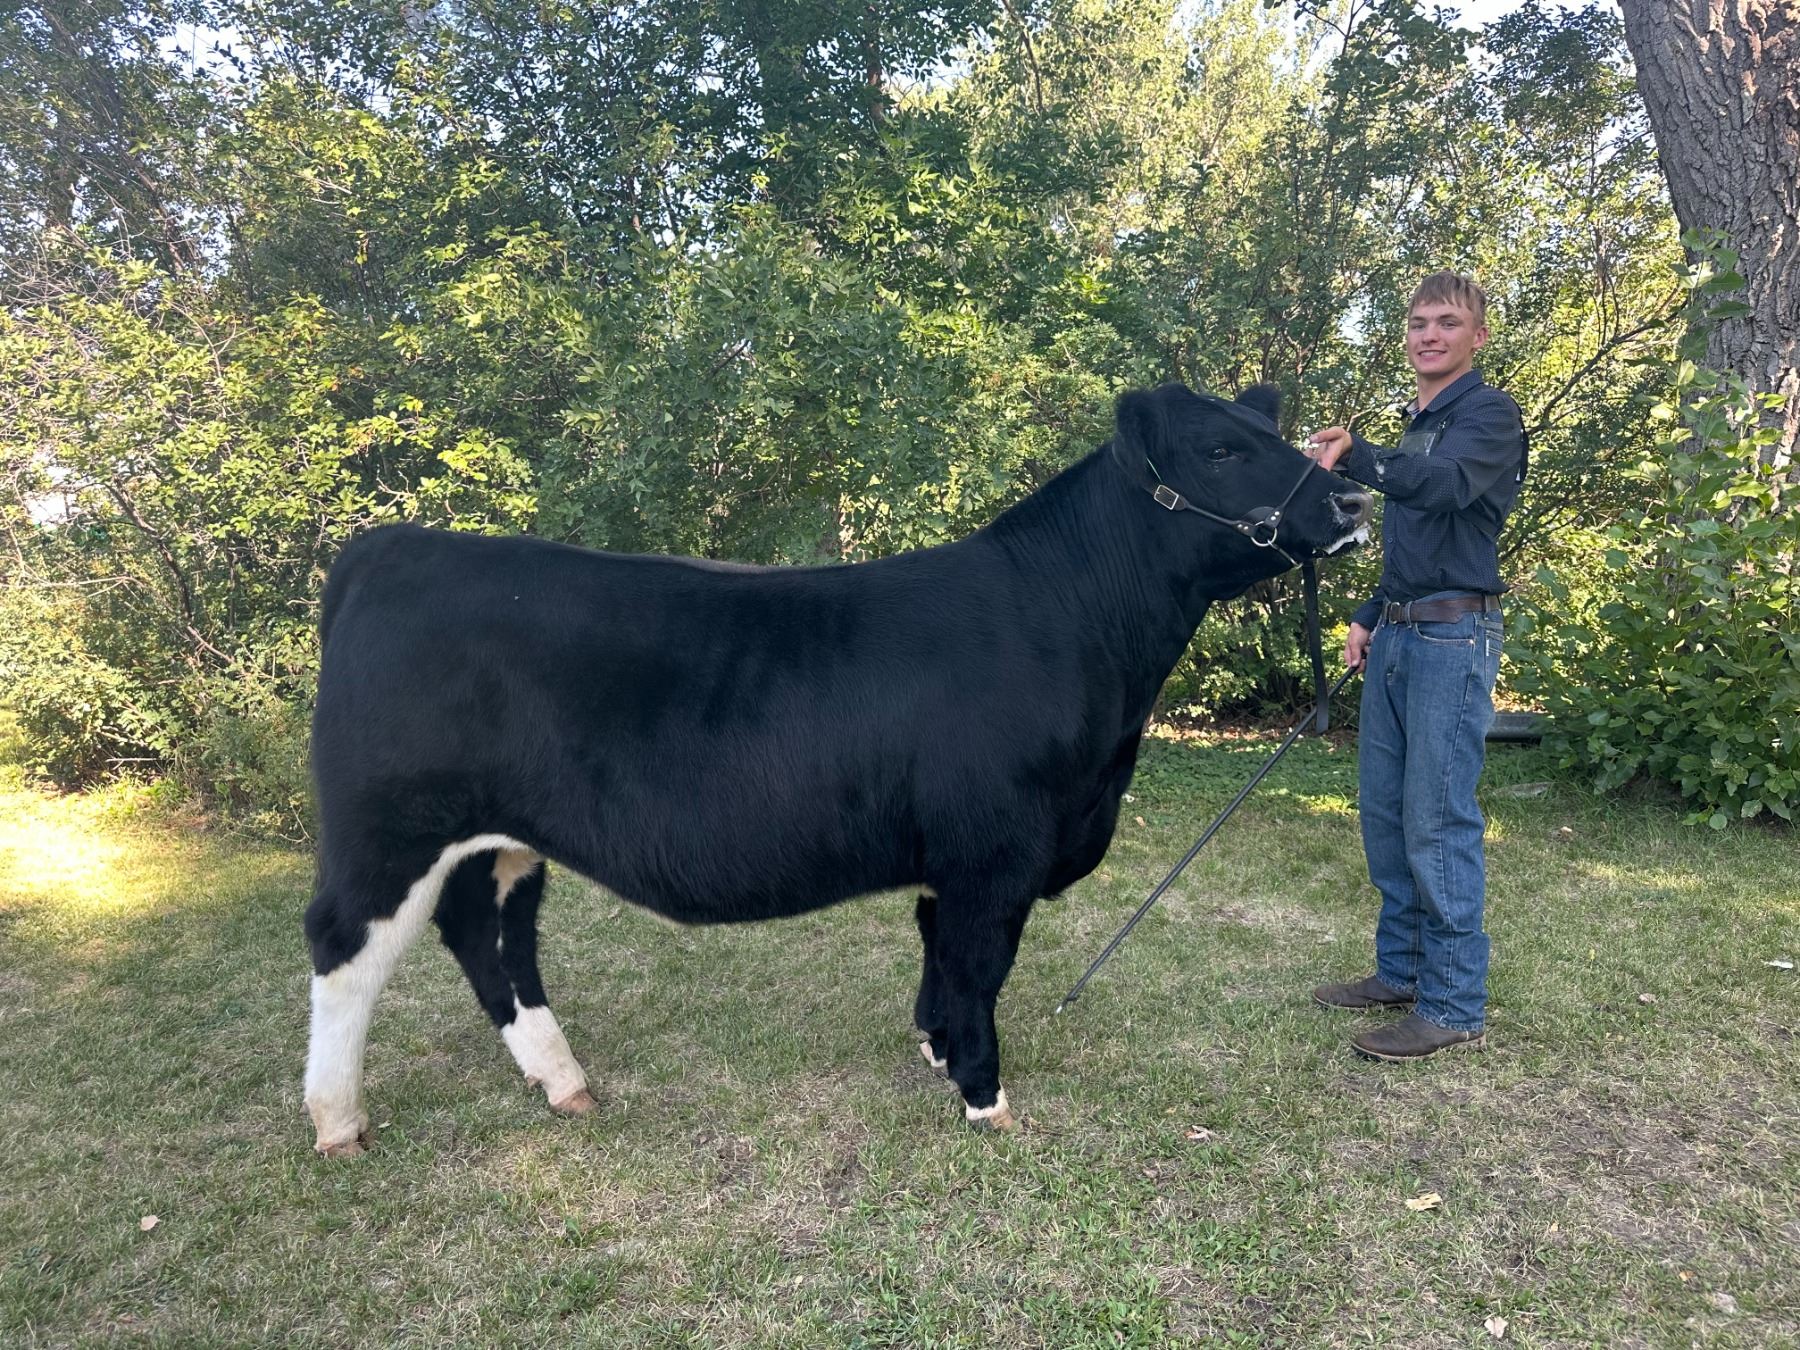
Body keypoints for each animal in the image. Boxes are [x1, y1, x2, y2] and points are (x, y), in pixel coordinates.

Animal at [302, 382, 1372, 1155]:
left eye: (1273, 433)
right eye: (1221, 449)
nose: (1354, 495)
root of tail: (388, 549)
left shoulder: (953, 854)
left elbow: (938, 956)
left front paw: (937, 1051)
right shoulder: (996, 849)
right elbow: (979, 964)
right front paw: (984, 1096)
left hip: (500, 839)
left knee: (490, 939)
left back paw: (564, 1084)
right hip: (387, 828)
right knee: (344, 949)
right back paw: (339, 1122)